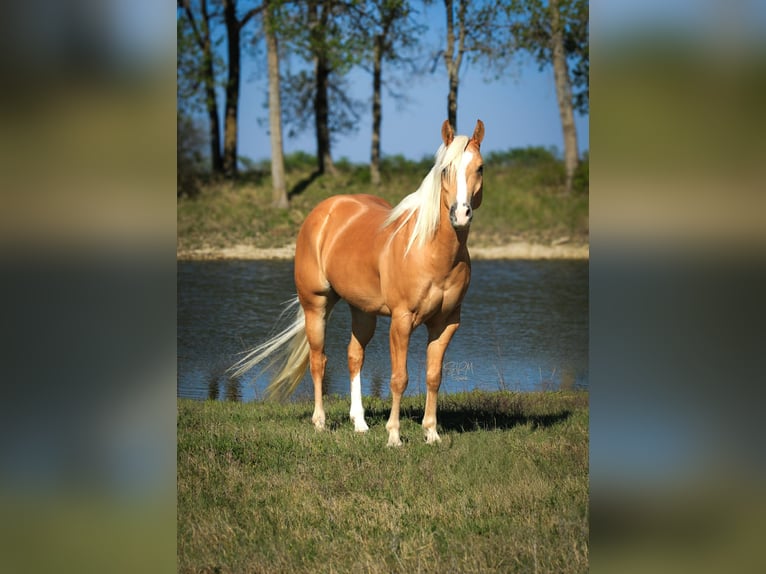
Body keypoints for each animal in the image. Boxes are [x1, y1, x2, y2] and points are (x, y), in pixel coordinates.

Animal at [231, 119, 485, 446]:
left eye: (480, 168)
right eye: (445, 169)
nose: (460, 214)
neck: (429, 250)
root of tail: (325, 210)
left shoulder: (446, 323)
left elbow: (433, 376)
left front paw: (432, 433)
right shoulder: (401, 321)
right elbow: (399, 378)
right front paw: (394, 437)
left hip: (363, 311)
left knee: (354, 356)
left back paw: (360, 423)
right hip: (316, 305)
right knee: (319, 360)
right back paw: (320, 422)